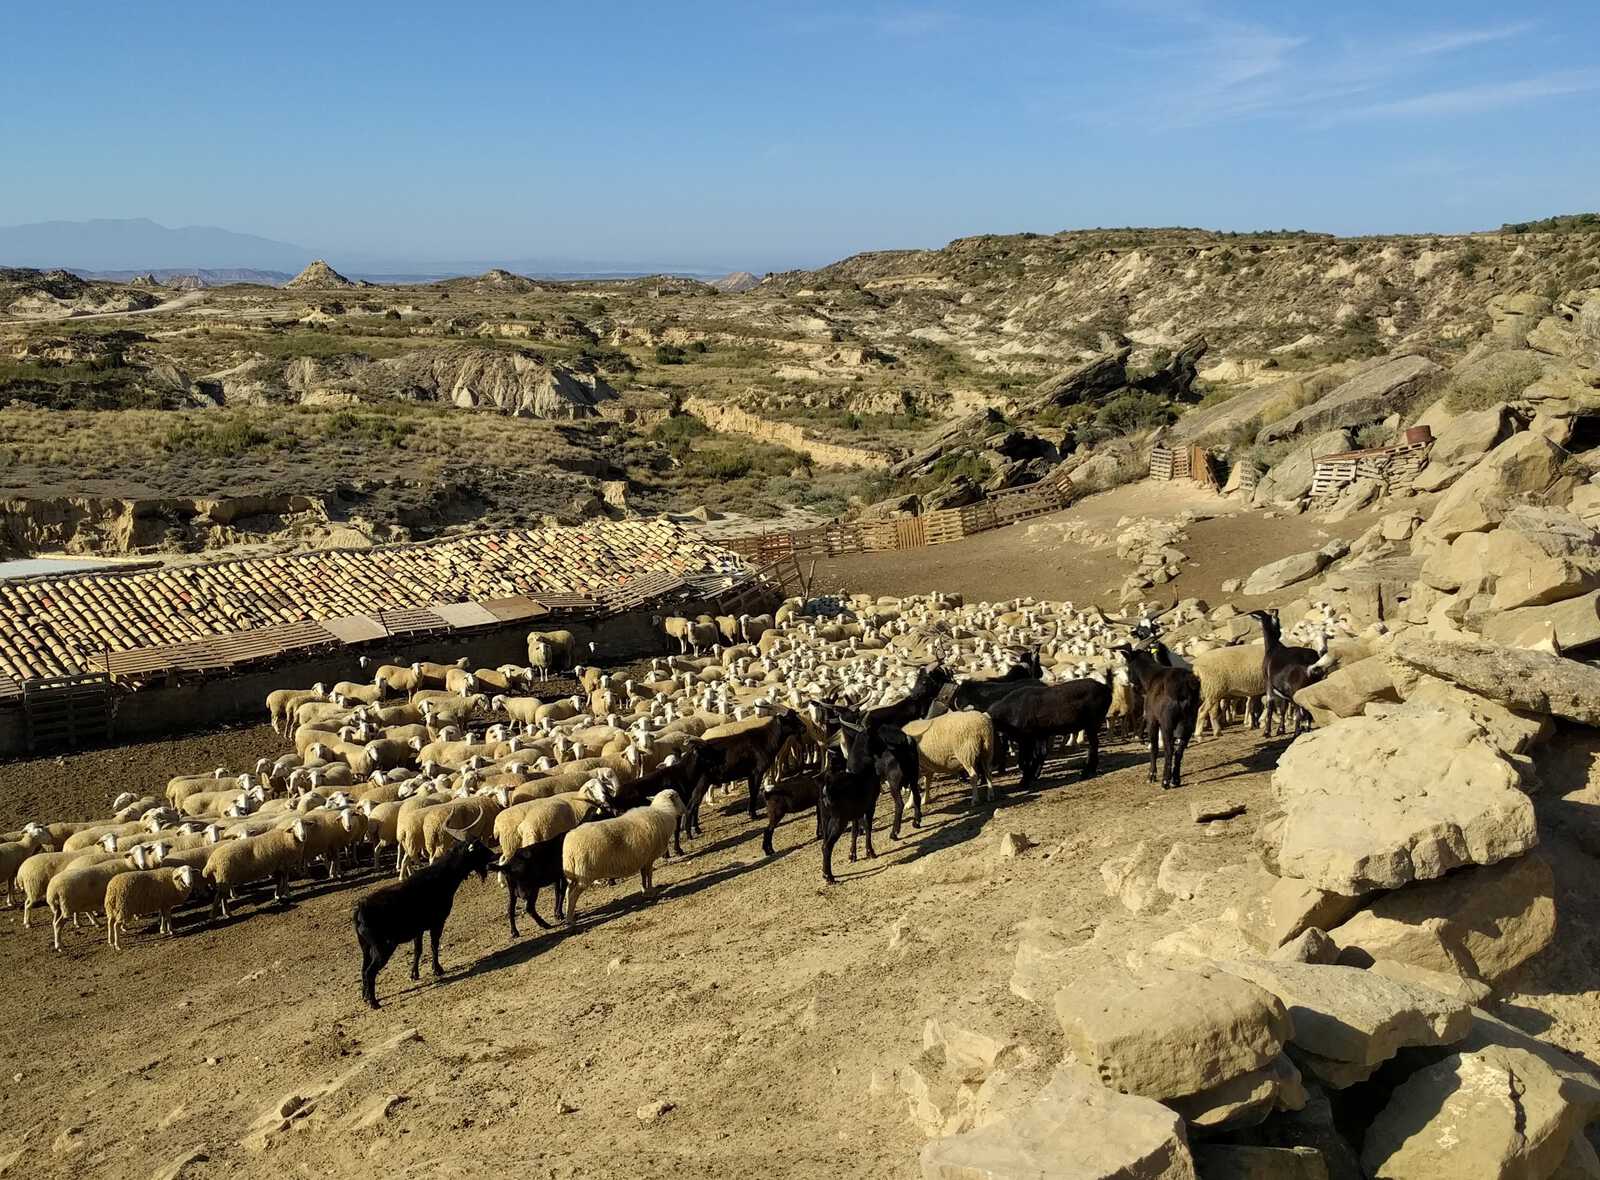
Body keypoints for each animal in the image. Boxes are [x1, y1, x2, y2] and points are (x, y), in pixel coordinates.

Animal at [353, 818, 489, 1010]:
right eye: (479, 847)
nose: (493, 855)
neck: (441, 877)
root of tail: (361, 908)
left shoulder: (418, 929)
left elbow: (418, 950)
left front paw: (414, 974)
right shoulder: (437, 923)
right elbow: (433, 945)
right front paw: (437, 969)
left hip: (365, 947)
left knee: (363, 969)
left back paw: (365, 997)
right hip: (382, 947)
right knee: (370, 972)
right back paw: (374, 1002)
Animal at [563, 786, 681, 920]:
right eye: (678, 796)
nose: (684, 810)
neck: (663, 811)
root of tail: (569, 847)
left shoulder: (643, 858)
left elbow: (643, 875)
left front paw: (644, 890)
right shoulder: (649, 857)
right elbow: (649, 875)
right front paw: (650, 891)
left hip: (574, 873)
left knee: (568, 891)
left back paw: (568, 913)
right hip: (584, 873)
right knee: (573, 894)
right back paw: (570, 918)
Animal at [979, 674, 1107, 786]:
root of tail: (1105, 688)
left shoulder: (1027, 739)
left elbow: (1027, 760)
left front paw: (1024, 782)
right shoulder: (1040, 736)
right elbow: (1040, 754)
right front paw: (1033, 776)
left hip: (1092, 725)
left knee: (1093, 745)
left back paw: (1087, 772)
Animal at [1120, 639, 1196, 786]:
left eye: (1127, 667)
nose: (1133, 686)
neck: (1152, 676)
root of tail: (1183, 687)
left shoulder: (1152, 720)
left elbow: (1154, 747)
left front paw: (1151, 775)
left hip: (1168, 722)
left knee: (1169, 749)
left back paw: (1165, 781)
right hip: (1189, 721)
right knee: (1180, 749)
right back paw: (1175, 780)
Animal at [1248, 607, 1324, 735]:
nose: (1279, 633)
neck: (1273, 647)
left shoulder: (1268, 683)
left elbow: (1270, 704)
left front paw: (1267, 732)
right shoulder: (1283, 689)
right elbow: (1283, 707)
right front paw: (1281, 729)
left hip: (1296, 689)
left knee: (1299, 708)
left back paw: (1297, 731)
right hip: (1311, 685)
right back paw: (1305, 728)